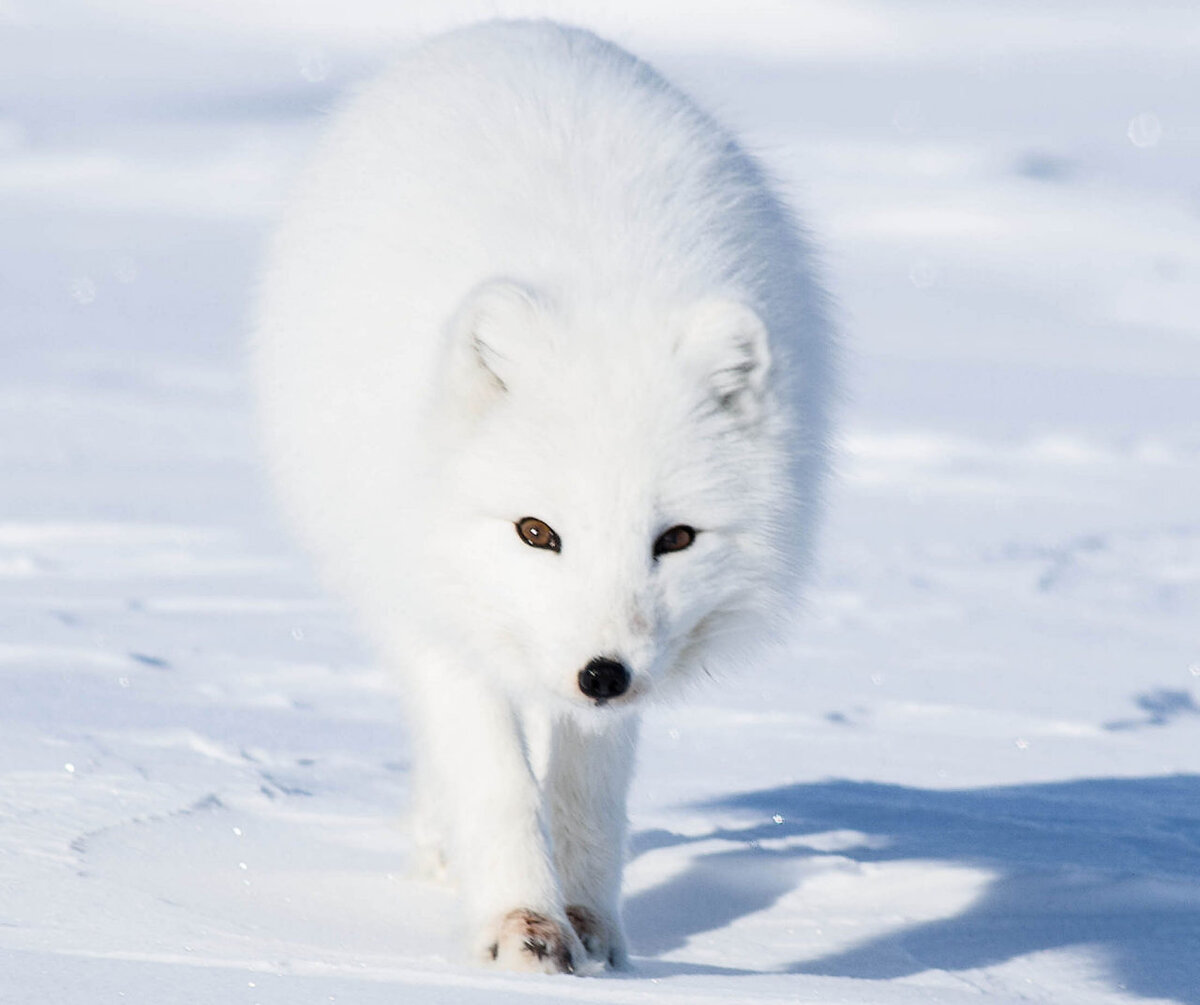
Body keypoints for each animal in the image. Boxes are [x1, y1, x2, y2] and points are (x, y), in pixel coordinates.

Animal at [255, 17, 835, 973]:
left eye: (676, 538)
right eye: (536, 531)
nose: (602, 674)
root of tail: (514, 26)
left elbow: (585, 789)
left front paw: (591, 924)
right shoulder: (442, 605)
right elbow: (495, 780)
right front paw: (520, 923)